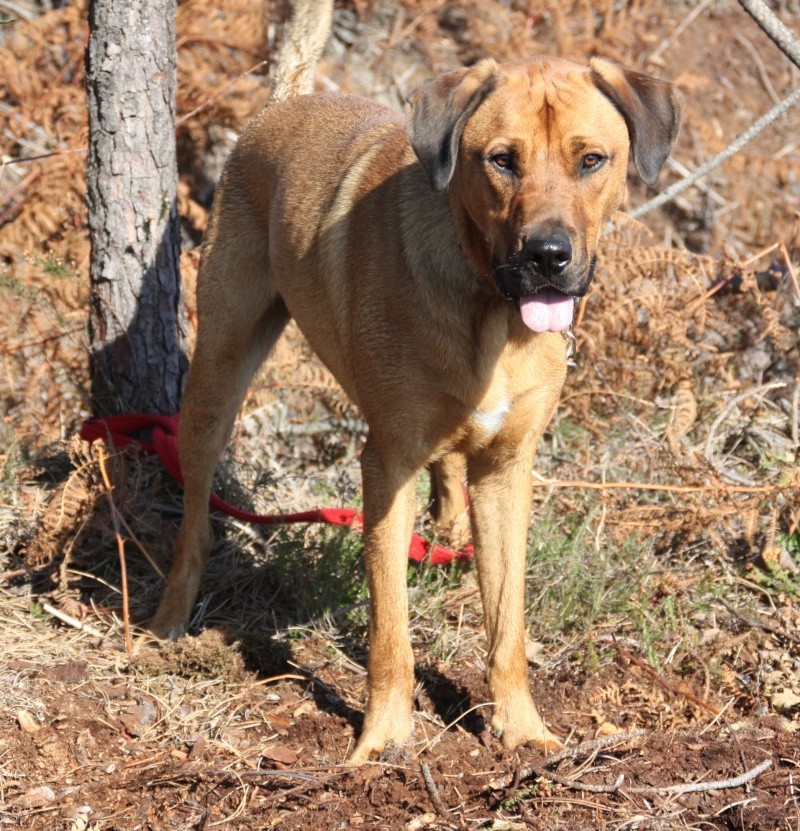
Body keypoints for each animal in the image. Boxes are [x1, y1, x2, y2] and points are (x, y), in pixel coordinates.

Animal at [148, 3, 680, 764]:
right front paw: (383, 740)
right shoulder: (386, 463)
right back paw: (169, 616)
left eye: (591, 160)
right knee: (194, 511)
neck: (489, 308)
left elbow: (507, 625)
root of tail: (283, 103)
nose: (548, 257)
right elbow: (390, 632)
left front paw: (521, 727)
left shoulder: (507, 468)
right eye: (502, 160)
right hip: (219, 369)